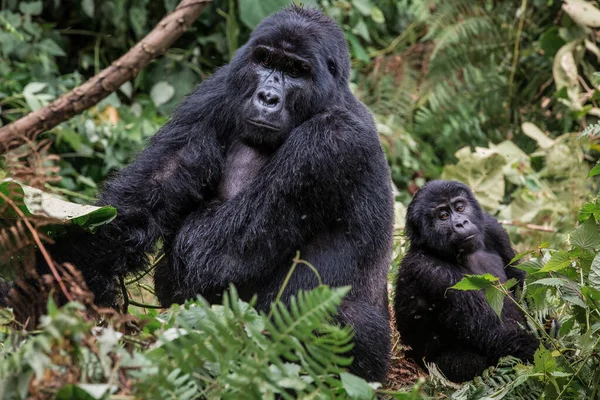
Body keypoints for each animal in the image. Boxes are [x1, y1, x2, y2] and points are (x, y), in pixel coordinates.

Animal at [25, 5, 394, 382]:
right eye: (265, 60)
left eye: (296, 71)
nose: (267, 98)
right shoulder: (219, 90)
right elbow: (149, 193)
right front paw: (61, 265)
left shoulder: (331, 143)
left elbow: (211, 251)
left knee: (342, 322)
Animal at [394, 180, 540, 382]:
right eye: (443, 216)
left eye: (460, 207)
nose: (461, 223)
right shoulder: (433, 272)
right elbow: (494, 334)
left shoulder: (493, 228)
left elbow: (520, 284)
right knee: (467, 363)